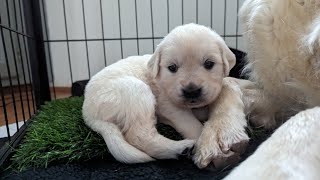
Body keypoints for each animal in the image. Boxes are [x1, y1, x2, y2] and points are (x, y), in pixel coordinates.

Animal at [82, 22, 250, 169]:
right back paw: (181, 148)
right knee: (139, 135)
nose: (191, 91)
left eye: (209, 64)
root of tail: (87, 111)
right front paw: (207, 145)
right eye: (172, 68)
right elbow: (192, 124)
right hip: (136, 91)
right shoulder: (168, 106)